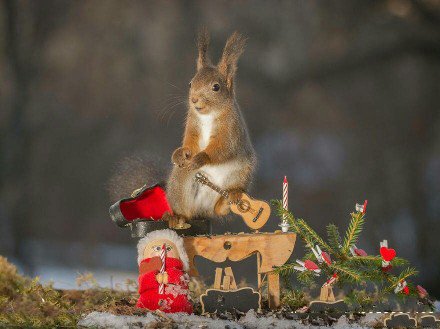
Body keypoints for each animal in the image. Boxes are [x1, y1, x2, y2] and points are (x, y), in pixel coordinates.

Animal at [166, 29, 256, 222]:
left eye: (216, 87)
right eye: (190, 83)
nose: (194, 100)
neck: (208, 115)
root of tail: (203, 209)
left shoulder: (230, 129)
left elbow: (223, 148)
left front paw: (201, 158)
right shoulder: (193, 123)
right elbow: (190, 142)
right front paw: (180, 153)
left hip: (242, 171)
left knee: (220, 209)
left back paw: (231, 198)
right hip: (181, 180)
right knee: (187, 211)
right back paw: (177, 217)